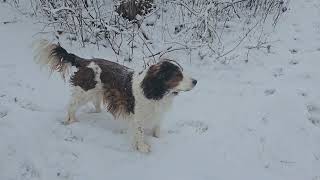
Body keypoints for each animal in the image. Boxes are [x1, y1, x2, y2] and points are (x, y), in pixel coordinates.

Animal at [33, 40, 198, 153]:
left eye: (182, 71)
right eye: (177, 75)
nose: (196, 81)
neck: (156, 91)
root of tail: (86, 61)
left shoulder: (158, 113)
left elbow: (157, 128)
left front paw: (159, 139)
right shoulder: (138, 116)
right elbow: (139, 132)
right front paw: (143, 147)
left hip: (96, 92)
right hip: (84, 92)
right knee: (72, 106)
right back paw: (72, 121)